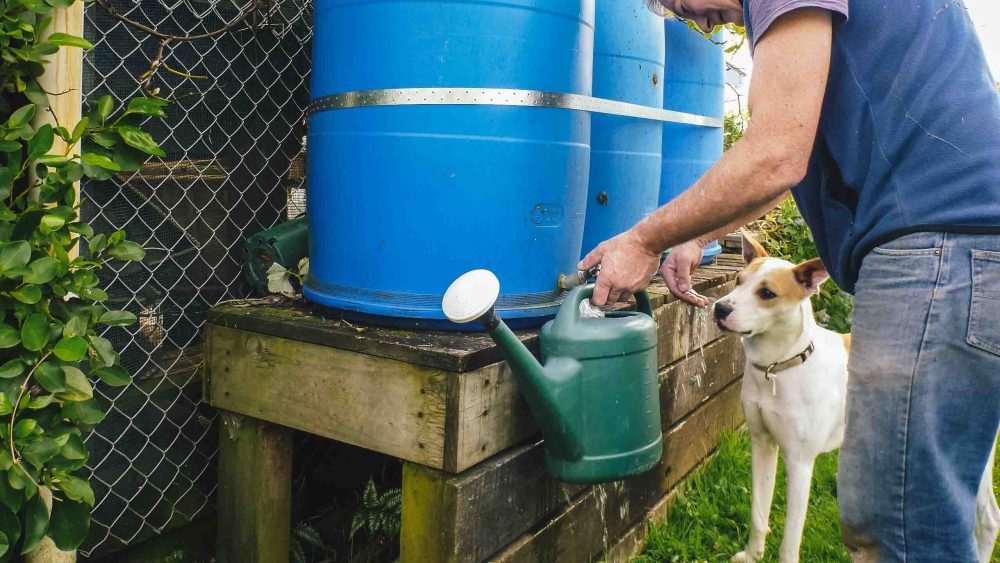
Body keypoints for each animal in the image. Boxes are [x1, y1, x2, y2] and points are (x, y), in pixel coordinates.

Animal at [716, 236, 996, 560]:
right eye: (738, 281)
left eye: (767, 293)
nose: (719, 308)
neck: (780, 366)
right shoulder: (762, 445)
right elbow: (758, 514)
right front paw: (752, 555)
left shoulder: (800, 463)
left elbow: (790, 540)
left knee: (987, 519)